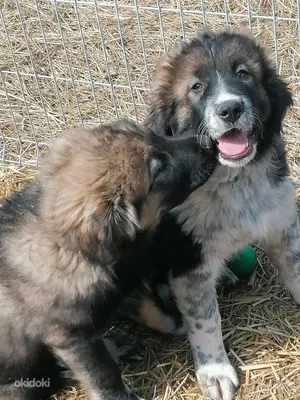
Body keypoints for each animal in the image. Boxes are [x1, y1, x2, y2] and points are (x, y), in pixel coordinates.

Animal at [0, 119, 217, 400]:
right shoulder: (70, 336)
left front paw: (180, 323)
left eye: (152, 135)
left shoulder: (125, 285)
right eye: (158, 170)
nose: (210, 142)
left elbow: (154, 310)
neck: (70, 250)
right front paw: (118, 396)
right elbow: (101, 373)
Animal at [145, 30, 298, 400]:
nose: (230, 108)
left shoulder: (283, 226)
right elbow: (205, 319)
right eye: (197, 86)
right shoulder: (188, 261)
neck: (234, 179)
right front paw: (215, 371)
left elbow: (296, 269)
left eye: (243, 74)